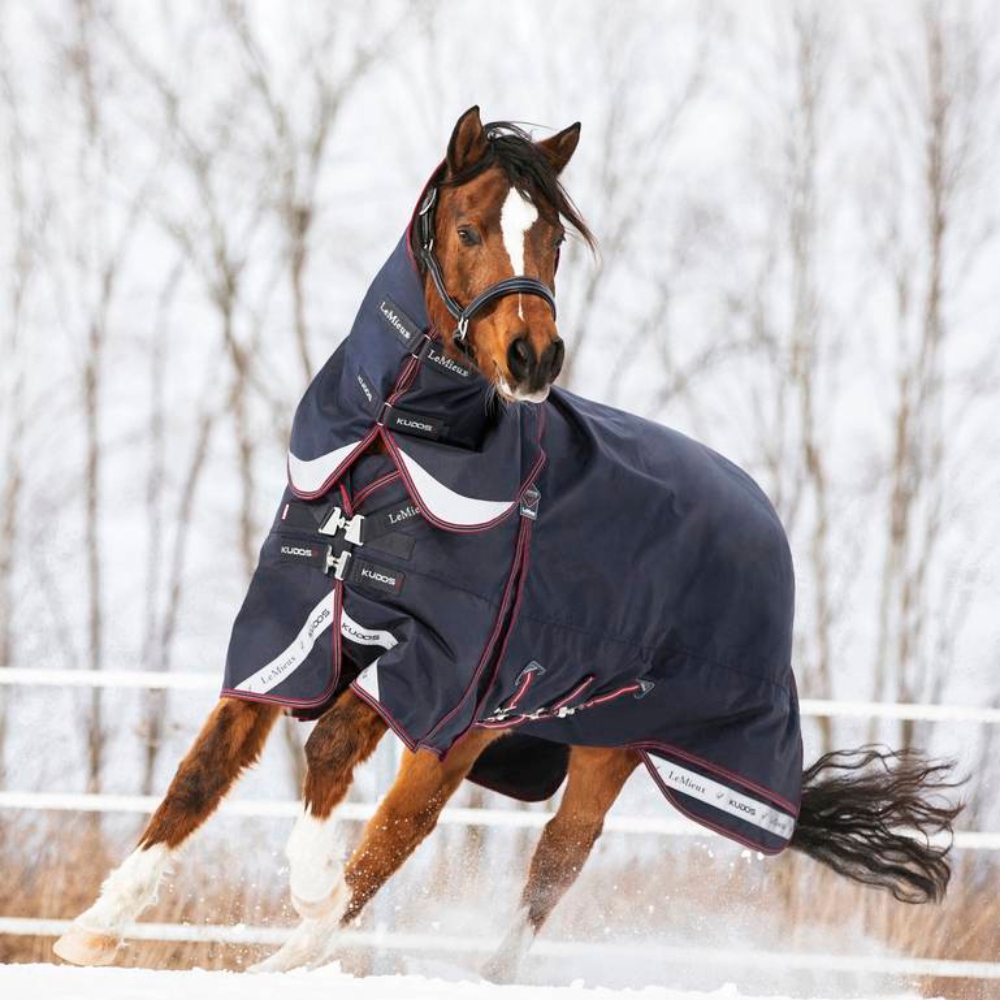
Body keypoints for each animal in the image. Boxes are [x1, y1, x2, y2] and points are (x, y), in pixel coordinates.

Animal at [54, 105, 960, 980]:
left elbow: (329, 746)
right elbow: (201, 773)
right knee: (432, 839)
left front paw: (308, 884)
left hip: (588, 744)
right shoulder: (299, 630)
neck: (387, 452)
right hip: (500, 729)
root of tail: (765, 523)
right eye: (466, 230)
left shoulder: (433, 668)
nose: (535, 357)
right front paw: (91, 932)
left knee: (527, 856)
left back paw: (329, 951)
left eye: (553, 240)